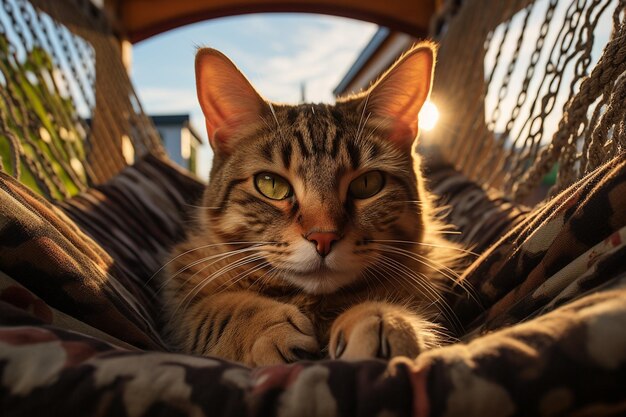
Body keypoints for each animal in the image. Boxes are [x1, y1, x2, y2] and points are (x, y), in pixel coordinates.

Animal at [161, 42, 460, 364]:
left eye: (367, 184)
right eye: (271, 185)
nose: (323, 238)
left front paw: (386, 319)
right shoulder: (183, 294)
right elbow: (217, 309)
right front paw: (264, 327)